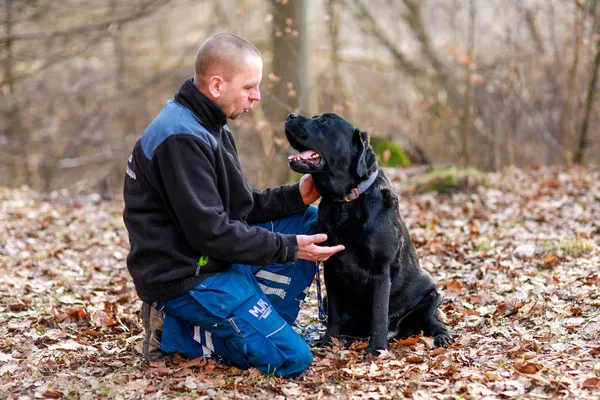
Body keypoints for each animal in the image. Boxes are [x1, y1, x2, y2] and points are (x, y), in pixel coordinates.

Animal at [284, 111, 450, 354]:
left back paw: (441, 337)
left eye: (324, 121)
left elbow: (379, 313)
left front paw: (377, 349)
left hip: (430, 297)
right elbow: (334, 314)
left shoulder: (381, 269)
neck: (345, 202)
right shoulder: (331, 267)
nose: (290, 115)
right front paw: (329, 341)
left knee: (435, 321)